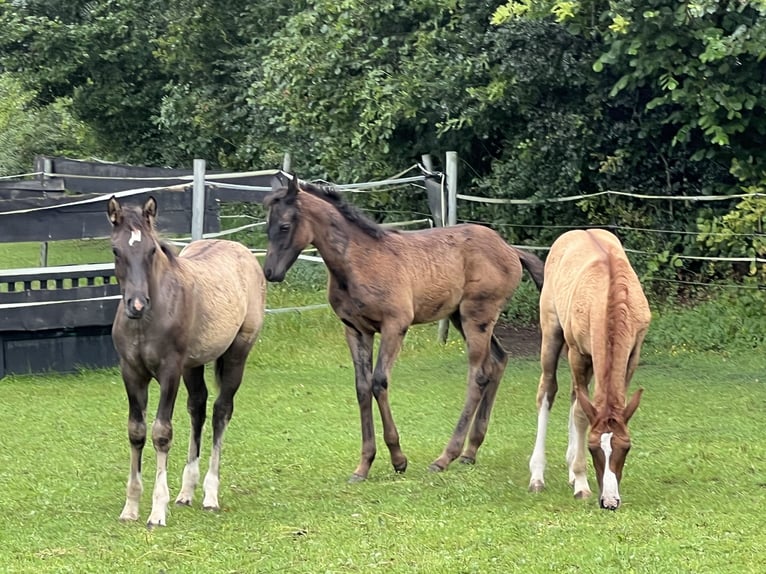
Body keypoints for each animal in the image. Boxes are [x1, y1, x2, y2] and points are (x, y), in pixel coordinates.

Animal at [106, 196, 266, 528]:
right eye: (116, 250)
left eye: (152, 250)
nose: (137, 305)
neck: (147, 320)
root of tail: (241, 249)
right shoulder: (131, 371)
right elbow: (136, 431)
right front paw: (130, 508)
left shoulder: (170, 372)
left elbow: (161, 433)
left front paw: (157, 511)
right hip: (193, 365)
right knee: (198, 408)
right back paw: (186, 491)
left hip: (236, 354)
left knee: (221, 411)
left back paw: (210, 495)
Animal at [264, 173, 544, 484]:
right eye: (266, 227)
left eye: (285, 225)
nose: (269, 272)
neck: (358, 262)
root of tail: (510, 249)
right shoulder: (355, 330)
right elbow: (362, 387)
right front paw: (363, 466)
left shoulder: (395, 325)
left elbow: (379, 382)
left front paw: (398, 459)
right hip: (461, 317)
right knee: (498, 360)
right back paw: (470, 452)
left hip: (477, 315)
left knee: (479, 374)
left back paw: (445, 457)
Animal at [532, 232, 652, 510]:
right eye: (593, 447)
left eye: (626, 447)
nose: (609, 502)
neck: (610, 296)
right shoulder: (578, 353)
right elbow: (580, 413)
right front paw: (581, 482)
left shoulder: (632, 355)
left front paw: (576, 474)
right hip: (551, 332)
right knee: (548, 391)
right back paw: (537, 475)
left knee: (576, 395)